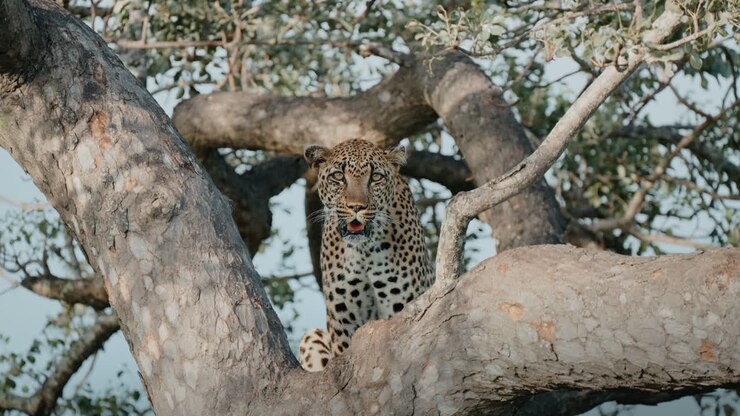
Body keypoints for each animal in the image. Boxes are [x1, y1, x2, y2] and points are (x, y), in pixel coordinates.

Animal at [298, 138, 434, 372]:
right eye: (338, 176)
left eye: (376, 177)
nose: (356, 207)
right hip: (311, 336)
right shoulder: (343, 319)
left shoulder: (401, 306)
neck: (363, 250)